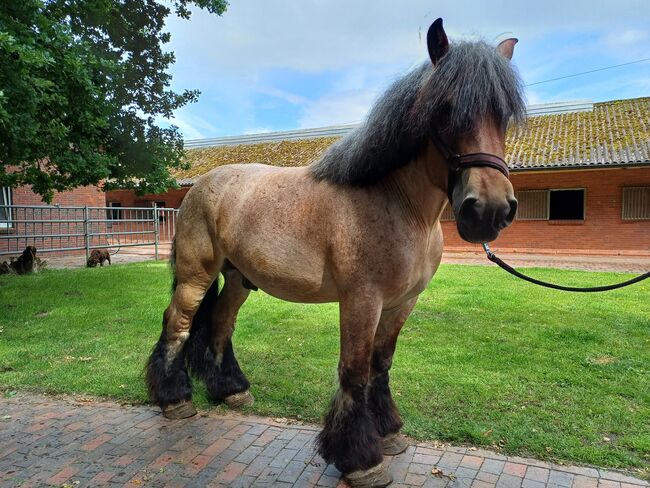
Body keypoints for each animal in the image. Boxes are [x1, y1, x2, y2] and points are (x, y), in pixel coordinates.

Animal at [146, 18, 520, 484]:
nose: (489, 210)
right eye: (445, 109)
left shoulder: (402, 303)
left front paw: (389, 432)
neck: (397, 204)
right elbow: (355, 371)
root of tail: (199, 188)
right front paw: (361, 460)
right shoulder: (362, 300)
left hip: (237, 278)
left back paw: (230, 391)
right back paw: (174, 399)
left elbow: (381, 365)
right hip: (196, 275)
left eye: (504, 115)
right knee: (177, 324)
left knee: (219, 325)